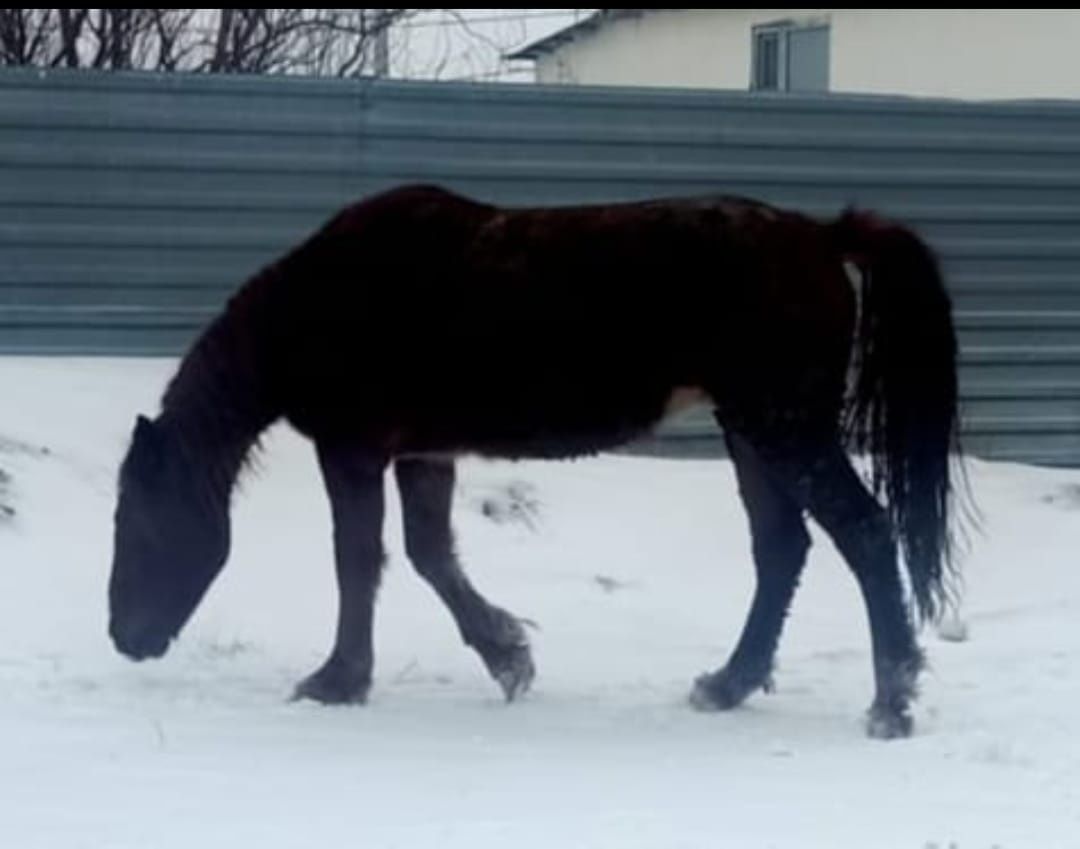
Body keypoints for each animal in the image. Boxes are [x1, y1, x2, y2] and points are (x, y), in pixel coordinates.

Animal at [105, 183, 959, 734]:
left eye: (138, 526)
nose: (124, 637)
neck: (322, 303)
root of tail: (820, 236)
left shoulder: (353, 450)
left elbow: (358, 560)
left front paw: (337, 680)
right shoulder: (421, 452)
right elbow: (428, 554)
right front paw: (507, 654)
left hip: (787, 429)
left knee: (864, 533)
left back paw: (891, 702)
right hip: (753, 432)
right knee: (783, 548)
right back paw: (728, 684)